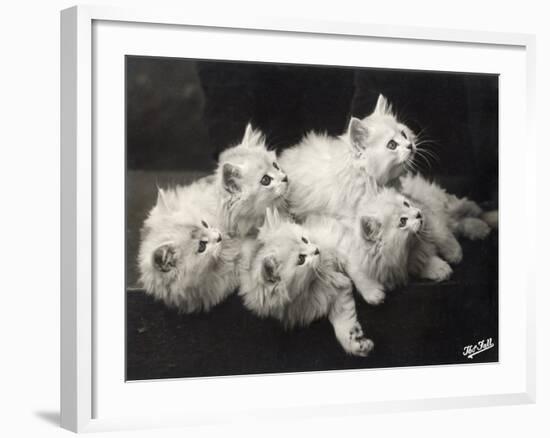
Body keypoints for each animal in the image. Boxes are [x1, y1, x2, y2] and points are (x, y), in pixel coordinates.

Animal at [240, 209, 376, 356]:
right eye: (301, 259)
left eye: (304, 240)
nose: (316, 250)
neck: (313, 280)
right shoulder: (332, 293)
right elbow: (343, 323)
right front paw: (355, 343)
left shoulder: (338, 240)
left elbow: (356, 269)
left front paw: (373, 293)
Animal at [306, 186, 452, 306]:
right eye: (403, 221)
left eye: (406, 204)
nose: (419, 214)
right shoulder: (343, 249)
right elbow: (358, 272)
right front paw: (372, 292)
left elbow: (418, 260)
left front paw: (437, 267)